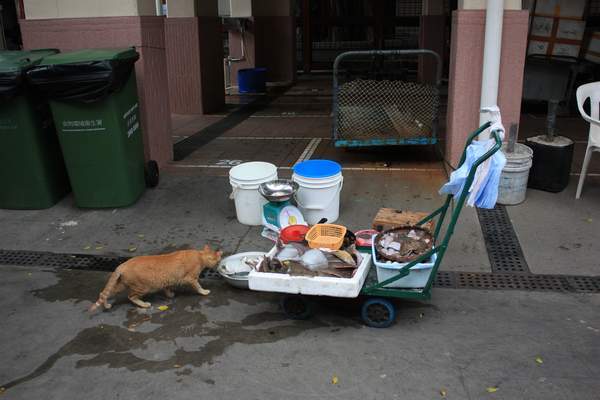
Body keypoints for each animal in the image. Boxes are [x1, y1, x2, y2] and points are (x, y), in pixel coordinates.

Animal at [92, 244, 224, 312]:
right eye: (218, 260)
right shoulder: (190, 278)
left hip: (121, 285)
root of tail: (123, 264)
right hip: (142, 288)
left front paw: (170, 295)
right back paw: (144, 304)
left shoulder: (167, 281)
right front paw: (204, 291)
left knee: (103, 293)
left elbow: (167, 288)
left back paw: (106, 305)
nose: (218, 265)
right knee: (131, 297)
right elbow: (198, 286)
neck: (200, 255)